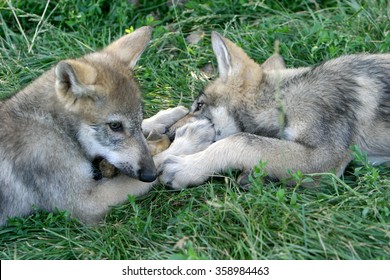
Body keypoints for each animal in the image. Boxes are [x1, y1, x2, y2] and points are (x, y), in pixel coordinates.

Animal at [158, 30, 390, 189]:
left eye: (198, 106)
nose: (167, 133)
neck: (284, 99)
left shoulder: (324, 160)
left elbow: (240, 141)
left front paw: (187, 168)